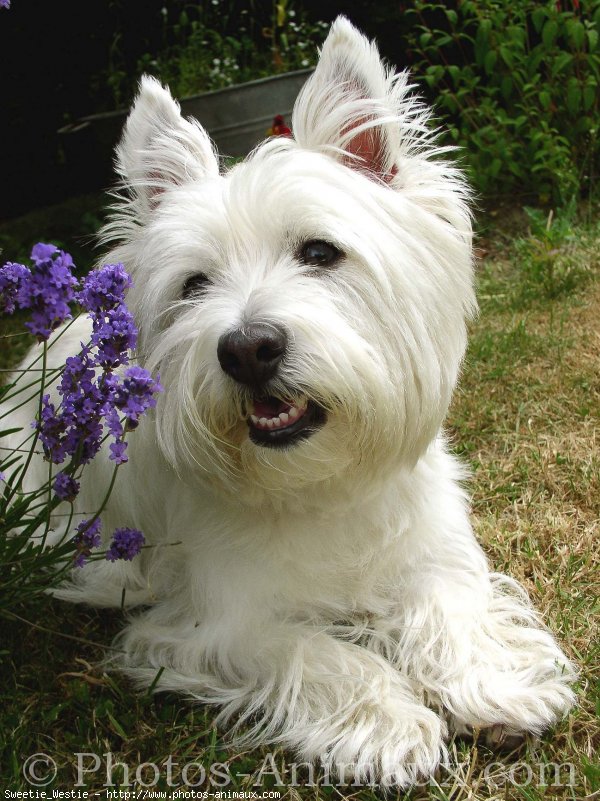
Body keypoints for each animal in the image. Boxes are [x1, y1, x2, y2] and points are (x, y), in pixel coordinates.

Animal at [8, 17, 572, 788]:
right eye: (194, 284)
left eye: (320, 252)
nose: (248, 349)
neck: (320, 483)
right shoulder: (214, 621)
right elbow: (314, 650)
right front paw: (389, 720)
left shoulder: (431, 545)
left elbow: (449, 602)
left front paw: (495, 681)